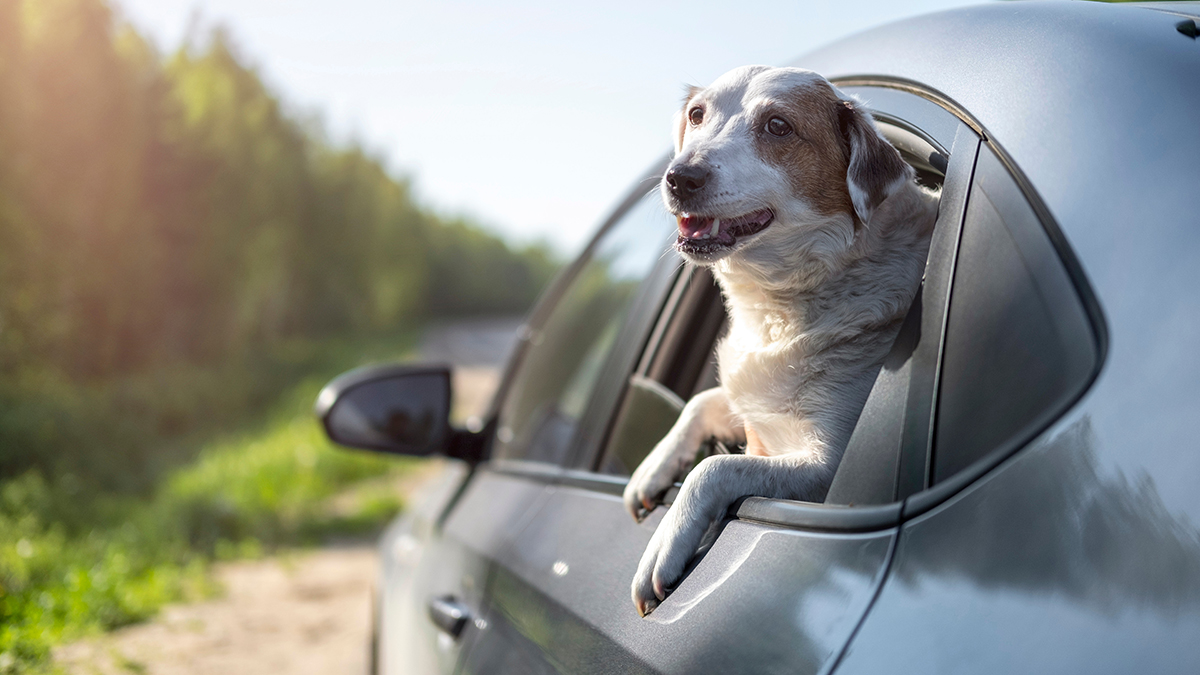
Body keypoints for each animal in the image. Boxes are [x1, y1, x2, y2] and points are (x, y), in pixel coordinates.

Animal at [624, 66, 940, 614]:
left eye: (777, 126)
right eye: (697, 114)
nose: (679, 177)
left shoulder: (827, 470)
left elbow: (715, 467)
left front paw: (665, 542)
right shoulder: (753, 400)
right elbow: (705, 401)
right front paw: (653, 467)